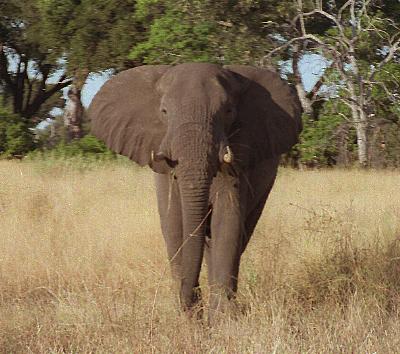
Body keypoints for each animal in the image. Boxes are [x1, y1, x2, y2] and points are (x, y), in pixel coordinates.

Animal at [89, 62, 302, 320]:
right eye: (164, 112)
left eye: (228, 111)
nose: (191, 305)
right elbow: (173, 223)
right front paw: (193, 318)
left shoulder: (239, 158)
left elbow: (227, 219)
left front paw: (221, 319)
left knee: (241, 234)